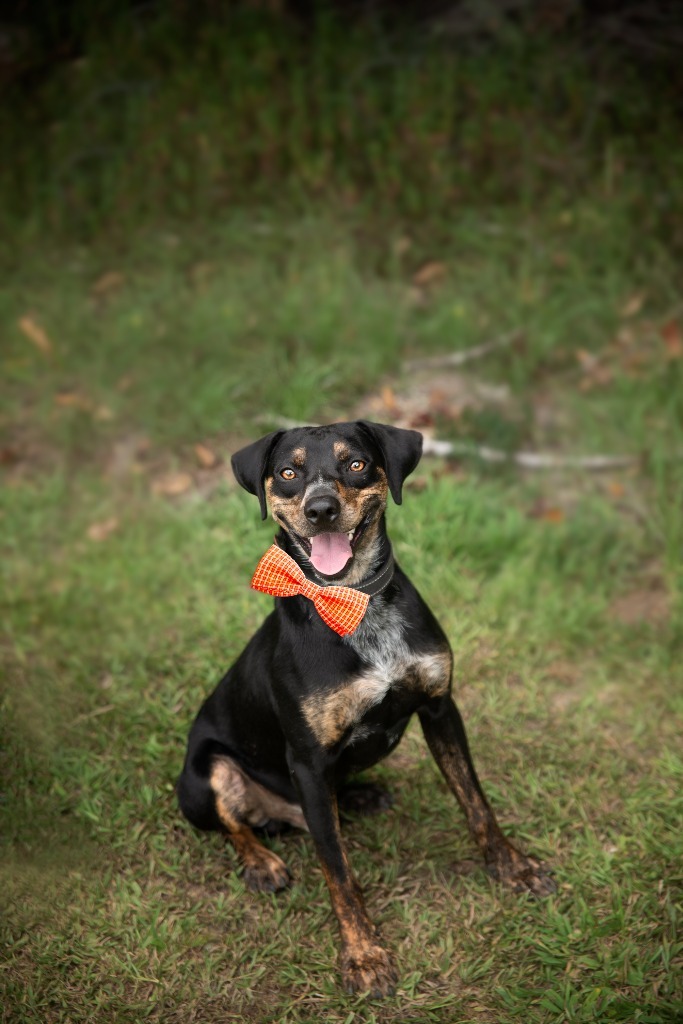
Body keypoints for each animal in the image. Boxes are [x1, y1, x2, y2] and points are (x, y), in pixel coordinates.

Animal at [178, 419, 557, 995]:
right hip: (203, 775)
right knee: (234, 825)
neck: (355, 602)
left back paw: (360, 797)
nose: (321, 509)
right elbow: (340, 873)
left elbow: (477, 804)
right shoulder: (309, 763)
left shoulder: (441, 708)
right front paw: (364, 956)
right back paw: (263, 863)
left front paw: (513, 869)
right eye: (287, 473)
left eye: (355, 463)